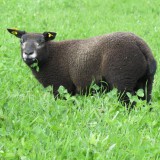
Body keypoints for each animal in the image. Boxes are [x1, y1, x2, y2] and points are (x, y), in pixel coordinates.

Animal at [7, 28, 156, 105]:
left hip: (123, 81)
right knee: (146, 101)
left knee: (129, 103)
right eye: (21, 41)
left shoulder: (61, 87)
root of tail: (140, 45)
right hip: (145, 82)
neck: (50, 56)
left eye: (42, 41)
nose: (28, 53)